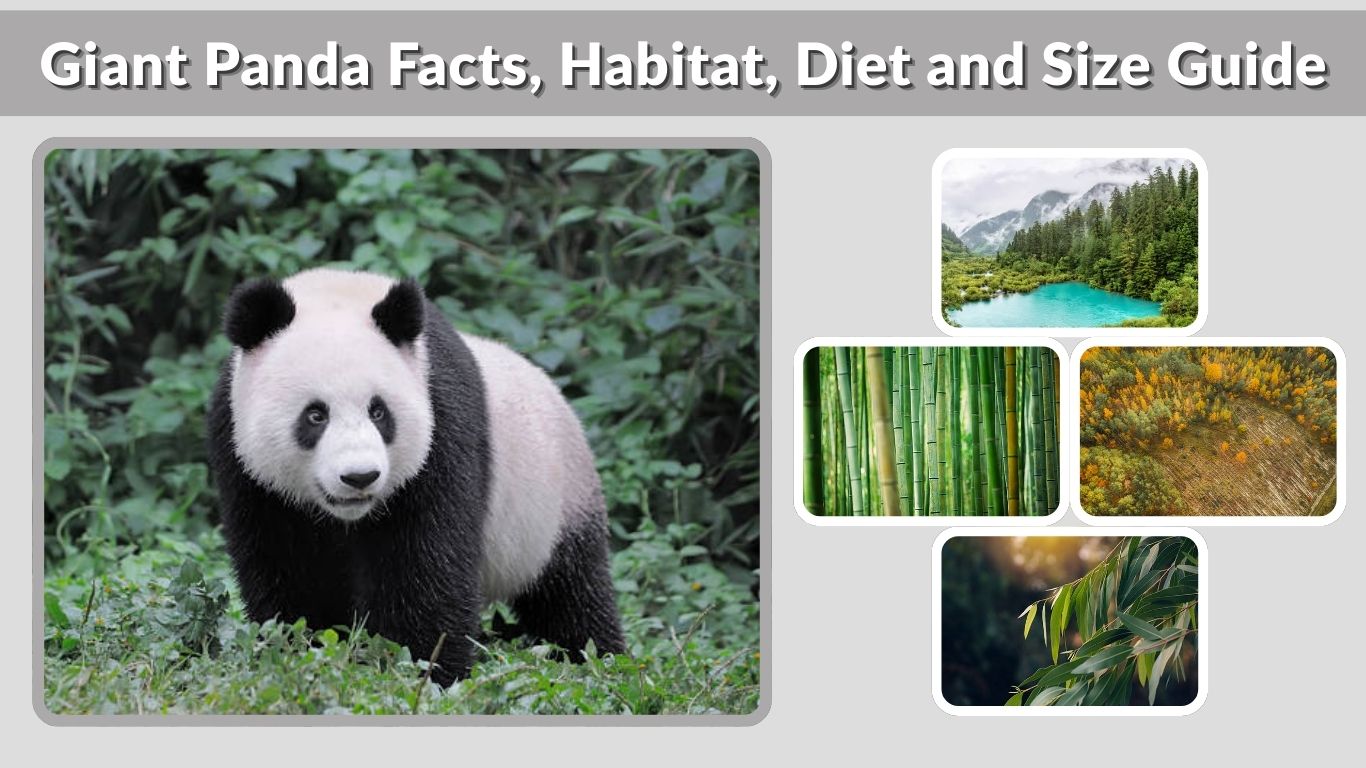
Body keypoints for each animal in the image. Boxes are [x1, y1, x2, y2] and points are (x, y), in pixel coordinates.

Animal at [207, 268, 626, 686]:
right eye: (315, 415)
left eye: (378, 412)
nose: (360, 477)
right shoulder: (245, 463)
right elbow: (288, 569)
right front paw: (300, 652)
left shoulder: (442, 427)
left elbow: (427, 566)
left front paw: (424, 670)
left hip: (556, 502)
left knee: (571, 593)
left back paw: (597, 658)